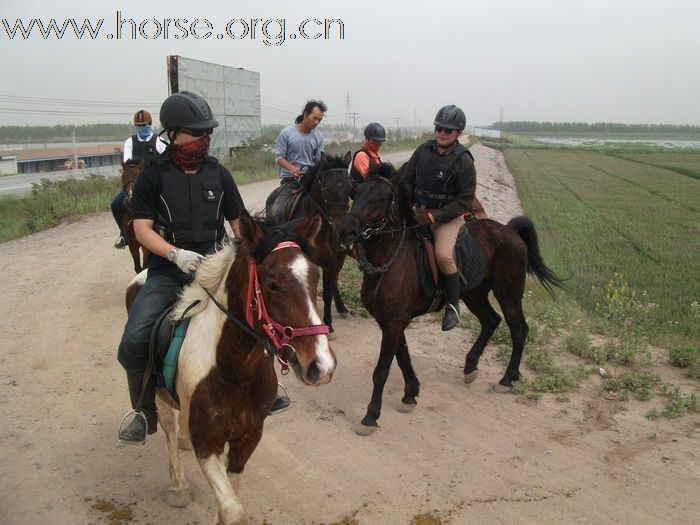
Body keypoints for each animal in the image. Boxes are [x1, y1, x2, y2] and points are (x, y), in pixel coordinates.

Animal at [131, 210, 340, 524]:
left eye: (315, 277)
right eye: (272, 284)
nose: (322, 365)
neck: (233, 372)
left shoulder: (248, 438)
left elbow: (232, 494)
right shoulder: (208, 444)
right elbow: (232, 509)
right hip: (159, 395)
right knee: (168, 427)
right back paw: (178, 485)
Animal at [268, 151, 356, 334]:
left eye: (349, 188)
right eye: (327, 189)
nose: (340, 227)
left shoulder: (331, 259)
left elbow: (327, 291)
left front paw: (329, 325)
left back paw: (342, 308)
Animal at [338, 163, 564, 434]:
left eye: (382, 198)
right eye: (356, 192)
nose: (345, 231)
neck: (390, 259)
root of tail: (510, 232)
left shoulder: (394, 322)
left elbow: (382, 370)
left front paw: (370, 416)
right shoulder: (391, 321)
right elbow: (403, 357)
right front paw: (410, 394)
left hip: (508, 294)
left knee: (518, 330)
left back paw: (507, 379)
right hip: (475, 294)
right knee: (491, 321)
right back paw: (471, 366)